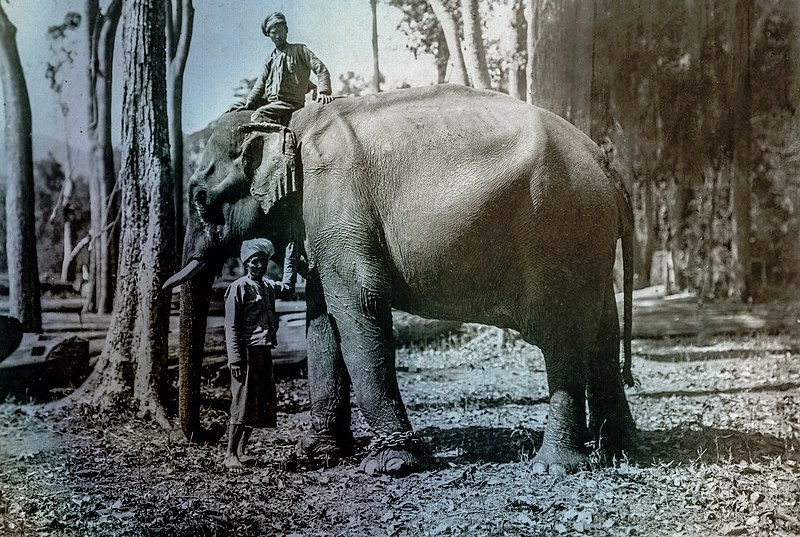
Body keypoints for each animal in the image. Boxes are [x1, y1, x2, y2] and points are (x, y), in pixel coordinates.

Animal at [163, 84, 636, 476]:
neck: (293, 121)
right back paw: (619, 450)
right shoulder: (322, 223)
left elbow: (360, 307)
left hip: (559, 229)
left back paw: (554, 466)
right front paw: (318, 452)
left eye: (199, 199)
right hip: (588, 243)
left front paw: (391, 464)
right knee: (602, 333)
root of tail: (607, 166)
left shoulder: (337, 205)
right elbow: (322, 323)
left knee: (561, 337)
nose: (198, 436)